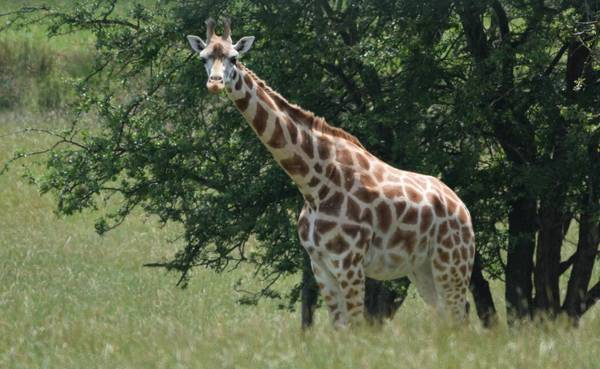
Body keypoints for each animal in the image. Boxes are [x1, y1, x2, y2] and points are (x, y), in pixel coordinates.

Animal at [185, 18, 476, 326]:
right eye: (203, 58)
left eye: (234, 57)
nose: (215, 83)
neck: (314, 184)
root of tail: (462, 207)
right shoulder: (320, 265)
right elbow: (340, 328)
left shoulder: (349, 262)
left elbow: (357, 326)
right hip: (422, 268)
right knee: (447, 318)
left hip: (451, 262)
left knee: (460, 316)